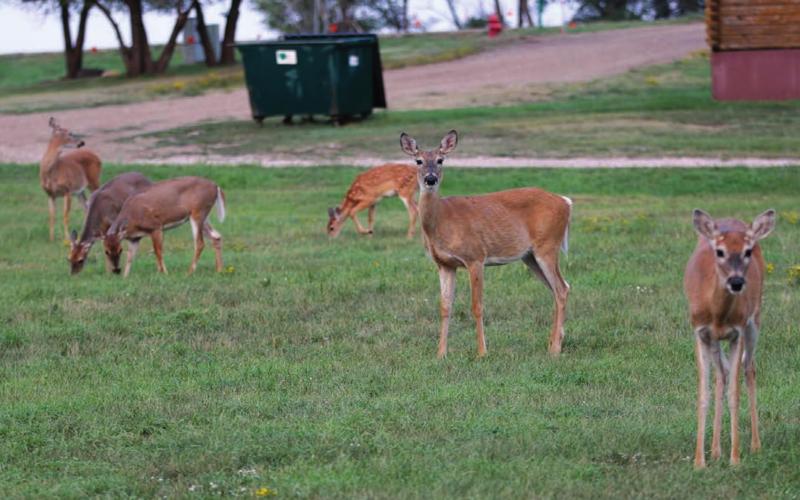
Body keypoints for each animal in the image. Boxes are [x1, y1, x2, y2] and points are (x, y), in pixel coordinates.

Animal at [400, 130, 572, 358]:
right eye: (418, 161)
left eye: (440, 160)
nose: (430, 179)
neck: (442, 220)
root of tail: (566, 202)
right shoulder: (444, 264)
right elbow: (445, 307)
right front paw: (441, 354)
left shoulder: (475, 257)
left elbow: (477, 306)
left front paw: (482, 352)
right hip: (530, 256)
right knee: (560, 288)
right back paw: (555, 341)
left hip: (548, 245)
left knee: (561, 288)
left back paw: (554, 350)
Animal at [684, 208, 776, 469]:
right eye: (720, 251)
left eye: (747, 251)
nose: (736, 282)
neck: (718, 315)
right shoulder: (700, 331)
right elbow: (704, 393)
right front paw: (699, 461)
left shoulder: (738, 330)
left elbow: (735, 393)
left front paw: (735, 459)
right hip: (716, 341)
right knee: (721, 375)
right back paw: (715, 450)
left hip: (755, 319)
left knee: (749, 368)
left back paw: (755, 445)